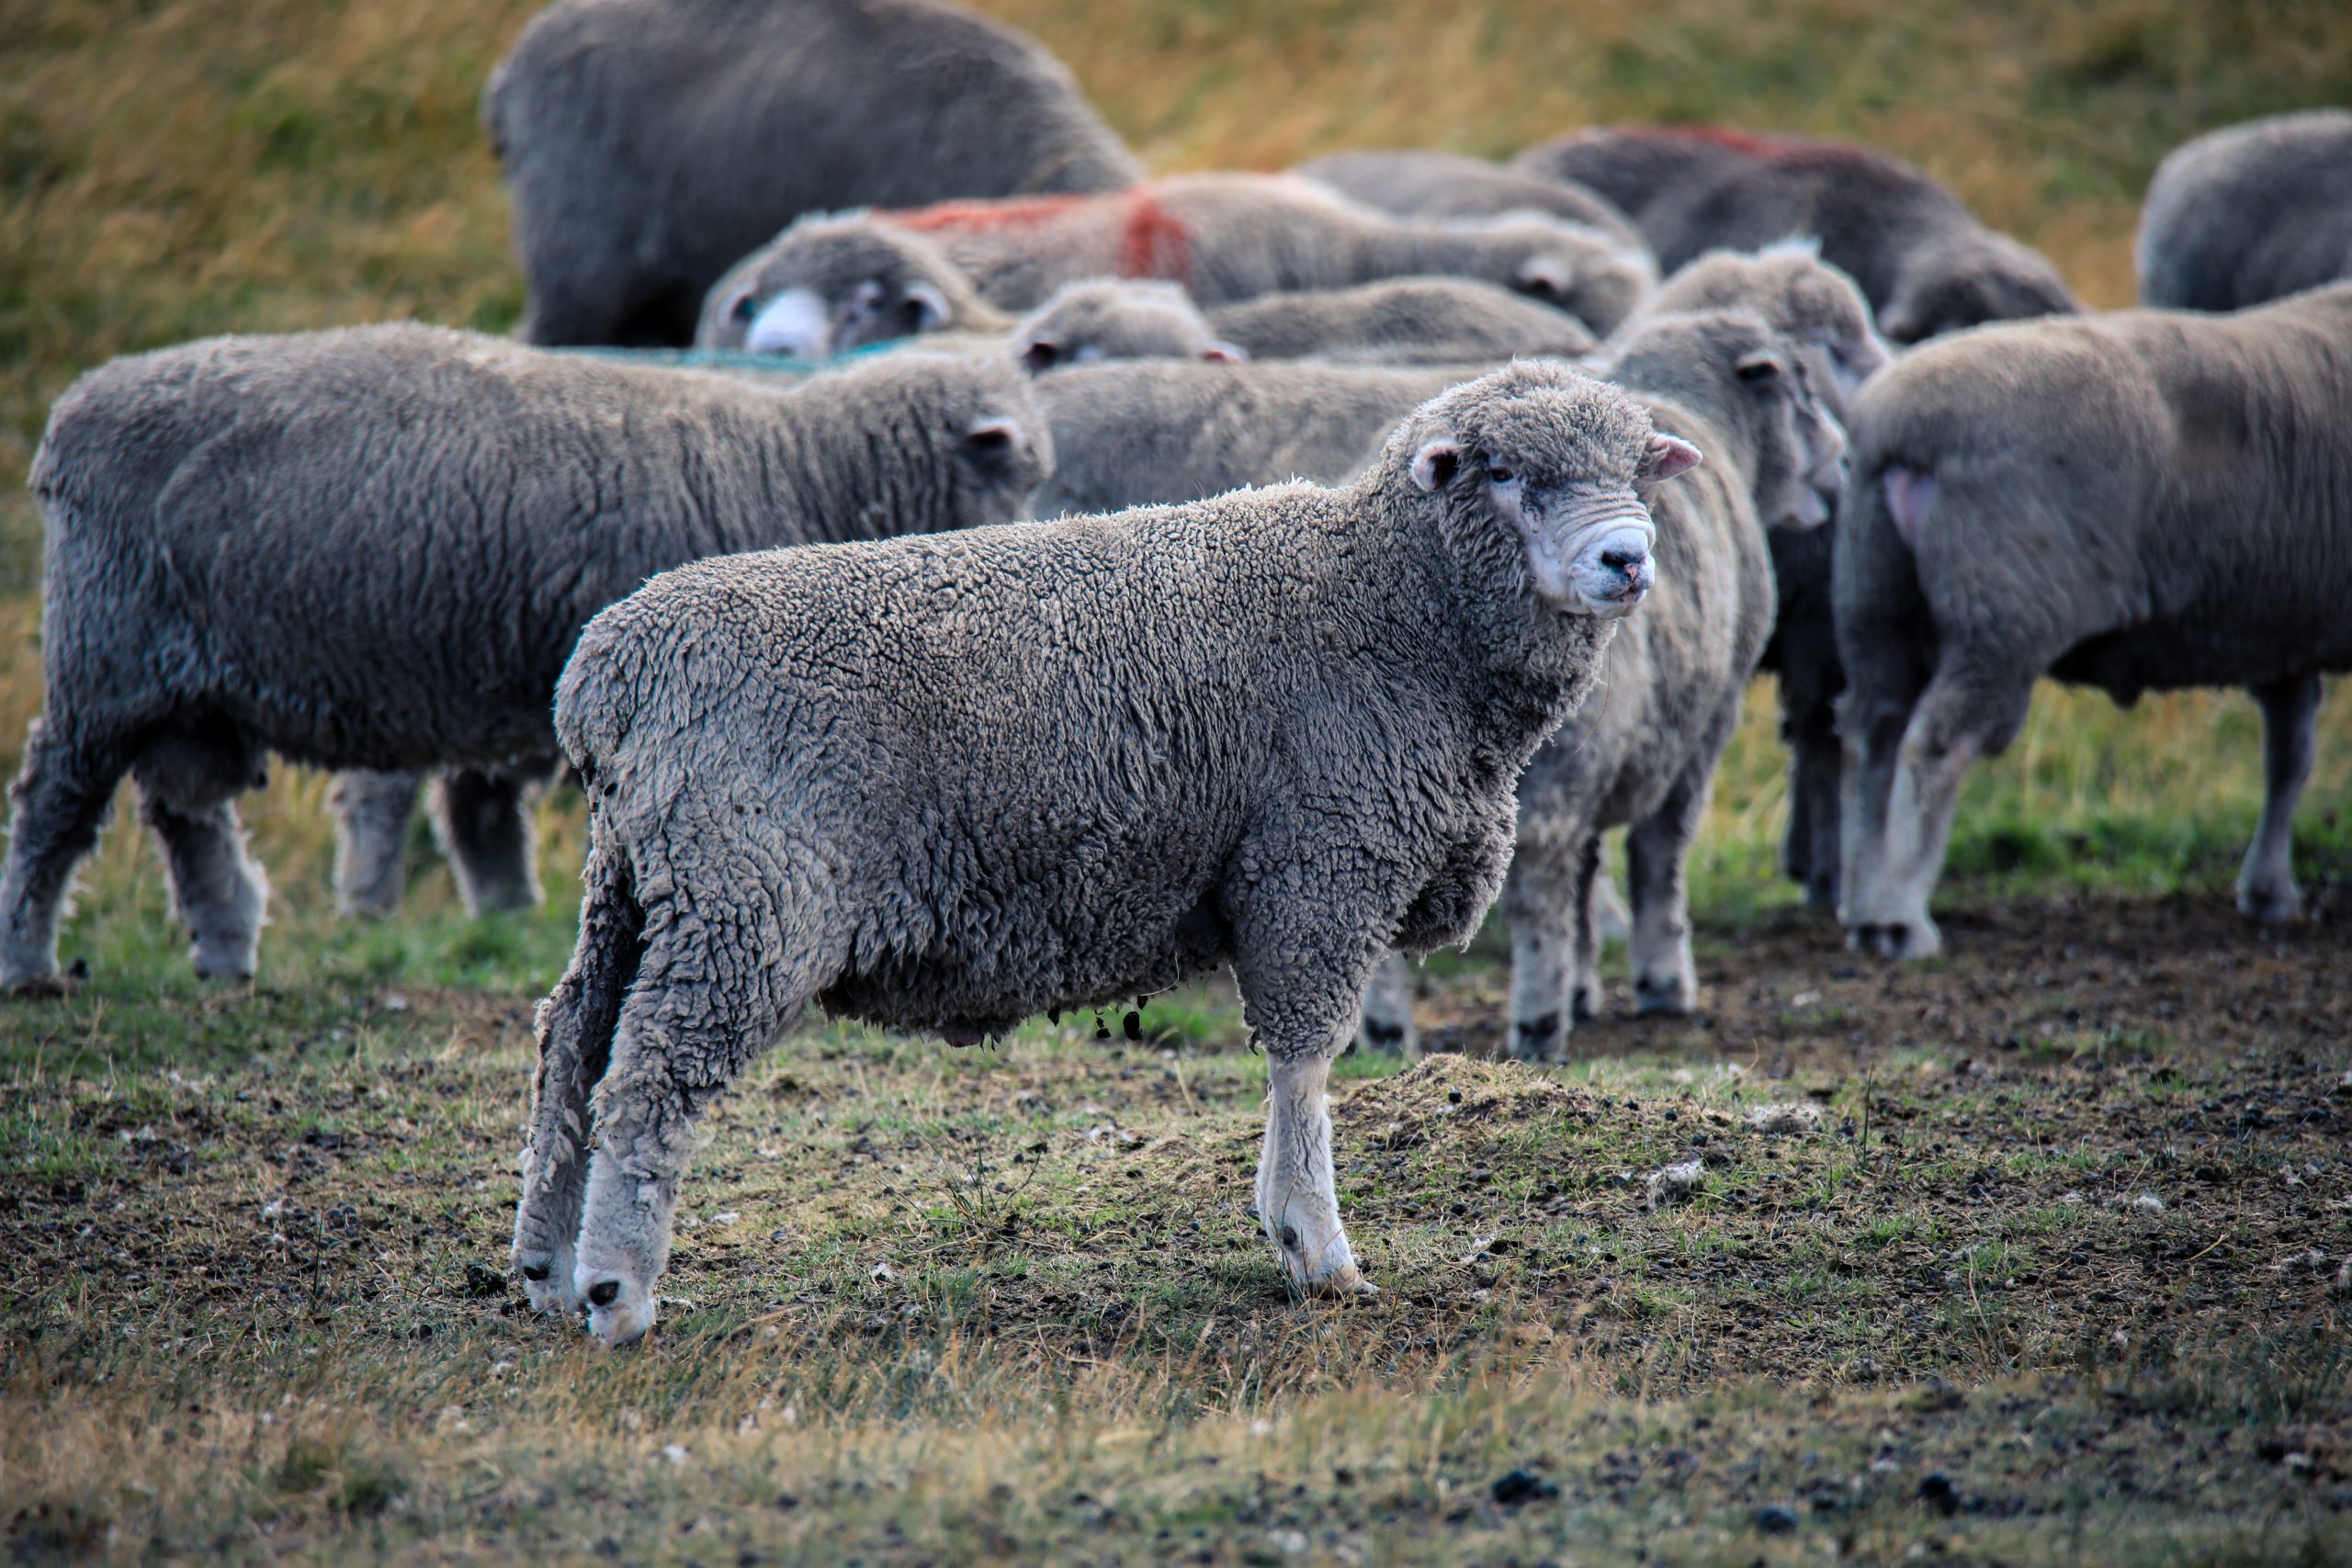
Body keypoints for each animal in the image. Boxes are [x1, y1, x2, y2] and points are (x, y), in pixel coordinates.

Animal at [0, 326, 1050, 986]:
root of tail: (73, 415)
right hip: (105, 659)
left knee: (186, 811)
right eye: (1022, 470)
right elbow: (492, 812)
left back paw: (224, 949)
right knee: (57, 800)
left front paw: (505, 914)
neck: (801, 465)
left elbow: (483, 813)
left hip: (188, 694)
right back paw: (28, 958)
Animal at [510, 360, 1702, 1344]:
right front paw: (1314, 1245)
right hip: (749, 897)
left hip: (639, 880)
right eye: (1502, 474)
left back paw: (544, 1266)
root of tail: (609, 671)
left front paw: (1288, 1227)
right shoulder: (1319, 867)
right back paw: (617, 1291)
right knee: (651, 1074)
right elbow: (1307, 1057)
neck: (1387, 605)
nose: (1627, 558)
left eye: (1631, 468)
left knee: (572, 1039)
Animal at [1360, 310, 1845, 1057]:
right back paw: (1535, 1020)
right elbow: (1657, 853)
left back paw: (1391, 1026)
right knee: (1547, 868)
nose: (1627, 557)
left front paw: (1585, 981)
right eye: (1500, 470)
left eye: (1635, 474)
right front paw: (1656, 979)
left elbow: (1593, 869)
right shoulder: (1693, 731)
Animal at [1834, 283, 2352, 960]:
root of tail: (1895, 423)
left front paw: (2268, 889)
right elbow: (2292, 755)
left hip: (1876, 598)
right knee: (1937, 745)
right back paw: (1900, 916)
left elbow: (2288, 755)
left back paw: (1864, 908)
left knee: (1873, 737)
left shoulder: (2282, 633)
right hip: (2004, 608)